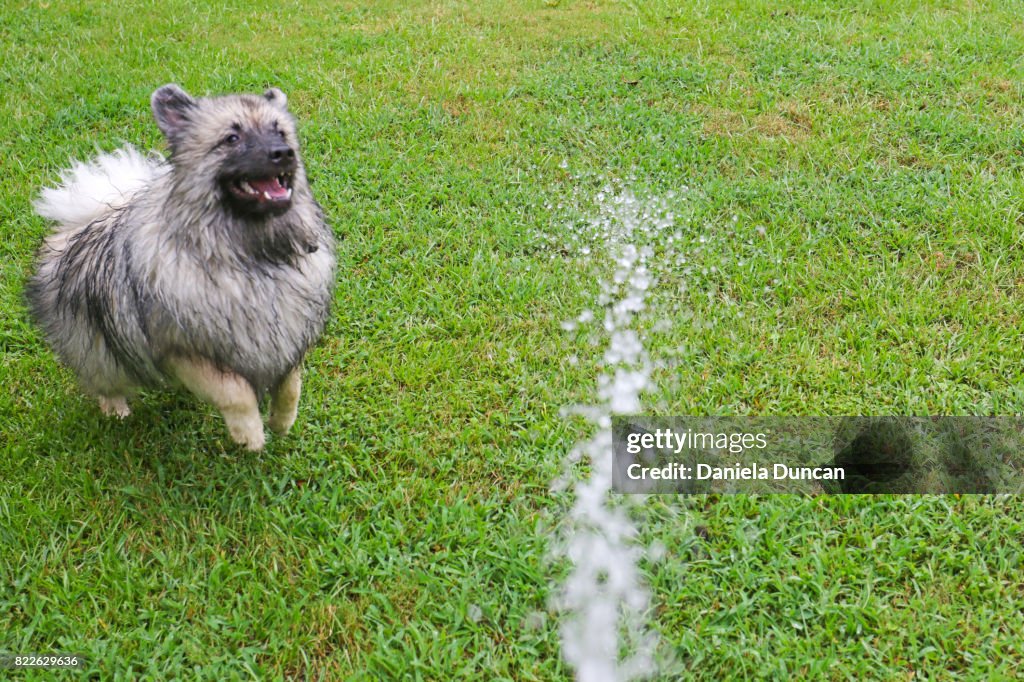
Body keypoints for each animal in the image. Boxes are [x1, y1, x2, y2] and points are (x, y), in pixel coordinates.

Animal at [28, 83, 335, 446]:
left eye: (281, 132)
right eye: (232, 138)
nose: (284, 152)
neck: (250, 254)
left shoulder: (287, 338)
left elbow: (291, 386)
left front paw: (282, 421)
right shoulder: (183, 350)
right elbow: (235, 392)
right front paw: (250, 433)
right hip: (95, 347)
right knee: (104, 381)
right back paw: (116, 410)